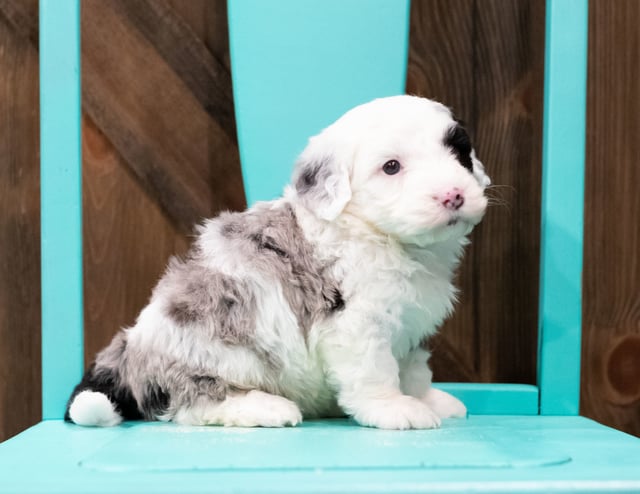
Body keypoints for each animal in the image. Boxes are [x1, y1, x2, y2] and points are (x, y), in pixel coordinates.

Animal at [66, 95, 490, 428]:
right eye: (391, 167)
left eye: (460, 152)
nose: (453, 195)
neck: (378, 234)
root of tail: (127, 352)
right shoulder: (356, 324)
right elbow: (375, 371)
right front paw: (395, 409)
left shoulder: (411, 326)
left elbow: (414, 370)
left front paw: (427, 399)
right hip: (216, 355)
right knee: (192, 404)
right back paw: (266, 408)